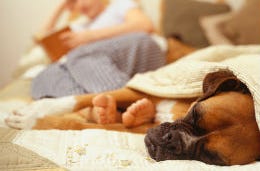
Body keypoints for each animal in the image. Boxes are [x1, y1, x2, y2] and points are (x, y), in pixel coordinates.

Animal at [4, 70, 260, 165]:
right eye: (196, 114)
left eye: (210, 157)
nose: (172, 140)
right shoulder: (140, 90)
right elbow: (78, 99)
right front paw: (33, 111)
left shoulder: (140, 128)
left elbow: (73, 122)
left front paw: (32, 122)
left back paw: (110, 111)